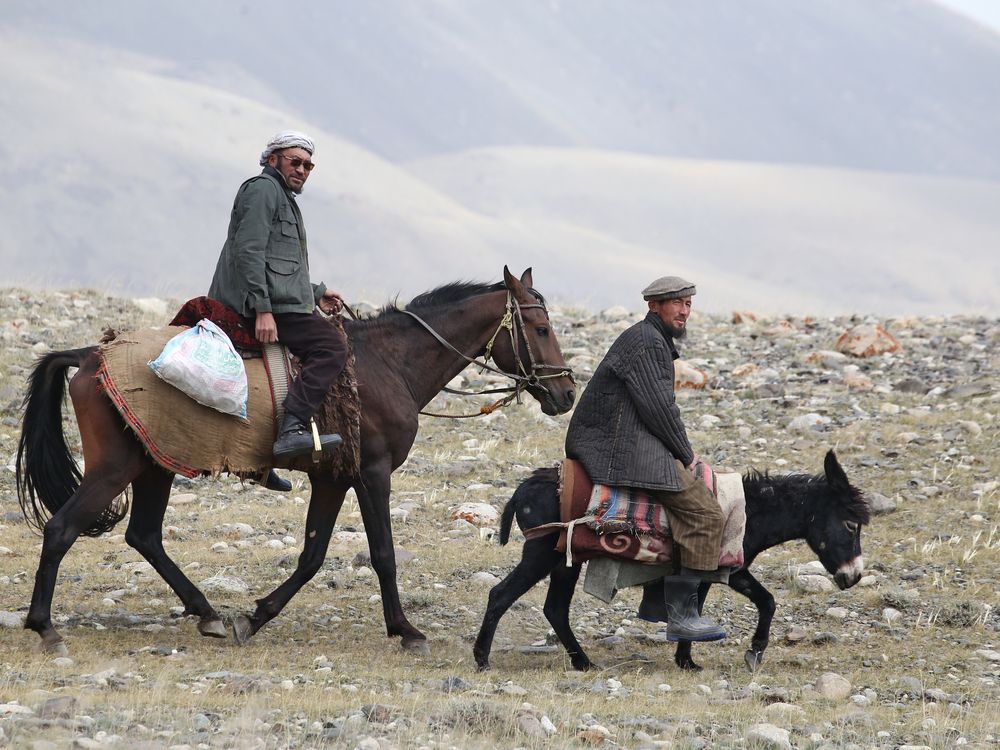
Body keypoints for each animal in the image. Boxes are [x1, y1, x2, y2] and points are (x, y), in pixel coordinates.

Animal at [16, 267, 576, 655]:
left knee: (144, 536)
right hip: (116, 468)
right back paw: (45, 628)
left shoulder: (334, 479)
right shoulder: (371, 474)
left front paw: (256, 616)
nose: (566, 393)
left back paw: (207, 613)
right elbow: (383, 554)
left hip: (155, 463)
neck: (388, 365)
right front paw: (406, 629)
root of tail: (90, 355)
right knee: (63, 529)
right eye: (540, 327)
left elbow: (311, 555)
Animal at [473, 450, 870, 672]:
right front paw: (743, 654)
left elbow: (707, 608)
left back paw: (583, 662)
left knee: (554, 608)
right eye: (850, 525)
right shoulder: (724, 568)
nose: (853, 577)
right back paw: (482, 659)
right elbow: (759, 602)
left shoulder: (715, 571)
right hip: (543, 554)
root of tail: (523, 490)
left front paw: (691, 658)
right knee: (501, 595)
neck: (751, 510)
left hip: (565, 561)